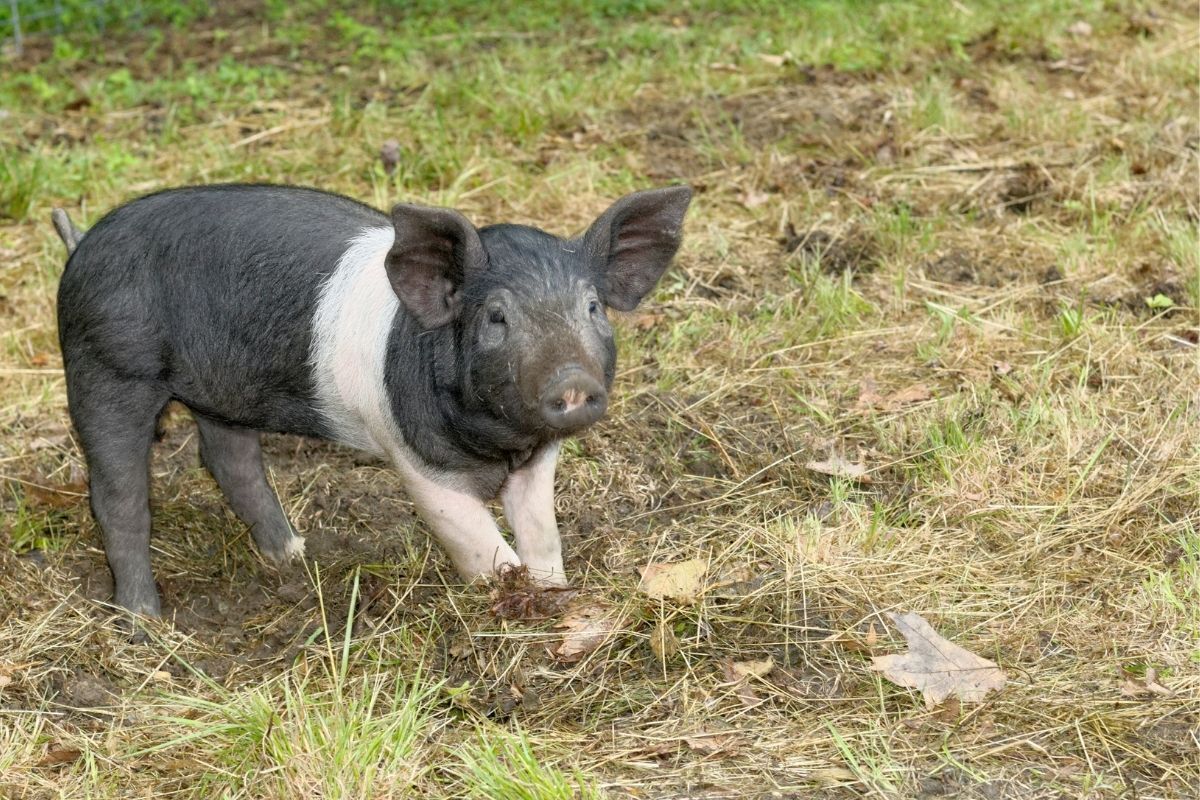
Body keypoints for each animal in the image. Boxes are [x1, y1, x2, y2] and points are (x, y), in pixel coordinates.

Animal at [56, 183, 696, 618]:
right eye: (496, 317)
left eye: (592, 307)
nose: (572, 379)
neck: (496, 445)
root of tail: (82, 242)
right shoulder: (418, 461)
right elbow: (478, 543)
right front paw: (514, 602)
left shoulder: (536, 461)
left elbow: (541, 534)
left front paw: (553, 590)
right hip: (105, 366)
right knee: (118, 494)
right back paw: (145, 620)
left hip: (221, 389)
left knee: (228, 460)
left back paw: (295, 555)